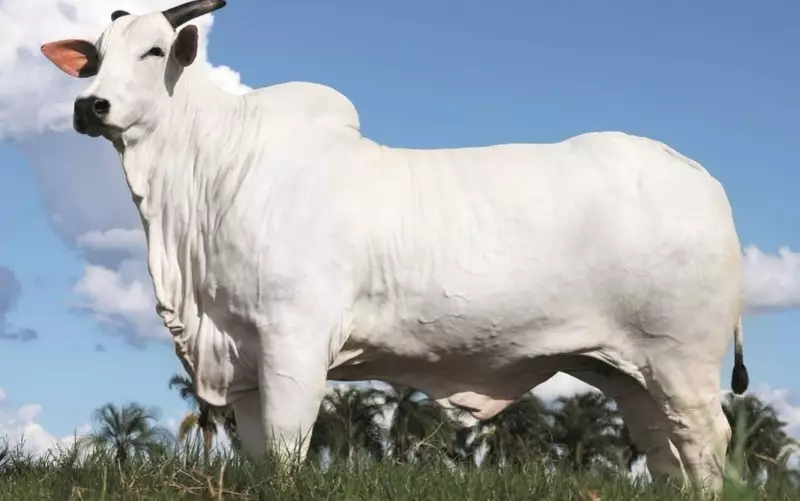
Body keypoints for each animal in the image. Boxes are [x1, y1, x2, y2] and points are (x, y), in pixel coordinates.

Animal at [41, 0, 749, 492]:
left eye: (154, 51)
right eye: (94, 56)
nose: (89, 106)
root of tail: (700, 177)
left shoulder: (294, 342)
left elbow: (288, 449)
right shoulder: (238, 354)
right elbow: (259, 453)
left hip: (683, 360)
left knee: (705, 438)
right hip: (628, 369)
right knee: (661, 445)